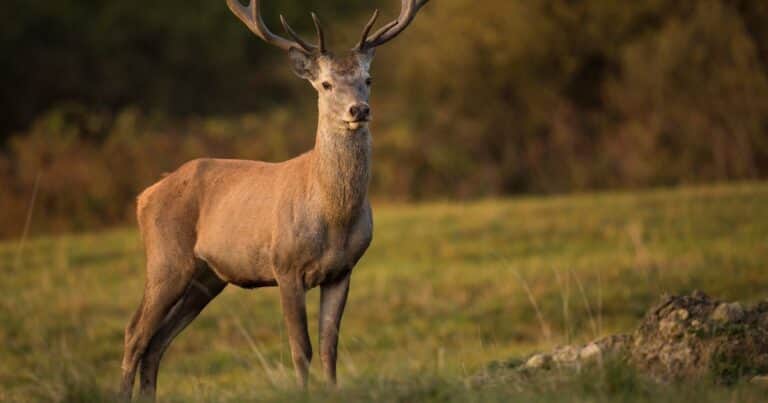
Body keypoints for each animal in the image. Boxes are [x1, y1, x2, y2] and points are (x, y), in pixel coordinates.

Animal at [118, 0, 430, 401]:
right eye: (326, 84)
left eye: (368, 79)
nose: (359, 110)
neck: (333, 217)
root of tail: (145, 195)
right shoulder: (285, 266)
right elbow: (301, 348)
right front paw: (303, 392)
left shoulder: (343, 270)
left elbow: (329, 346)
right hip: (166, 259)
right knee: (135, 333)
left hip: (207, 277)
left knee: (157, 342)